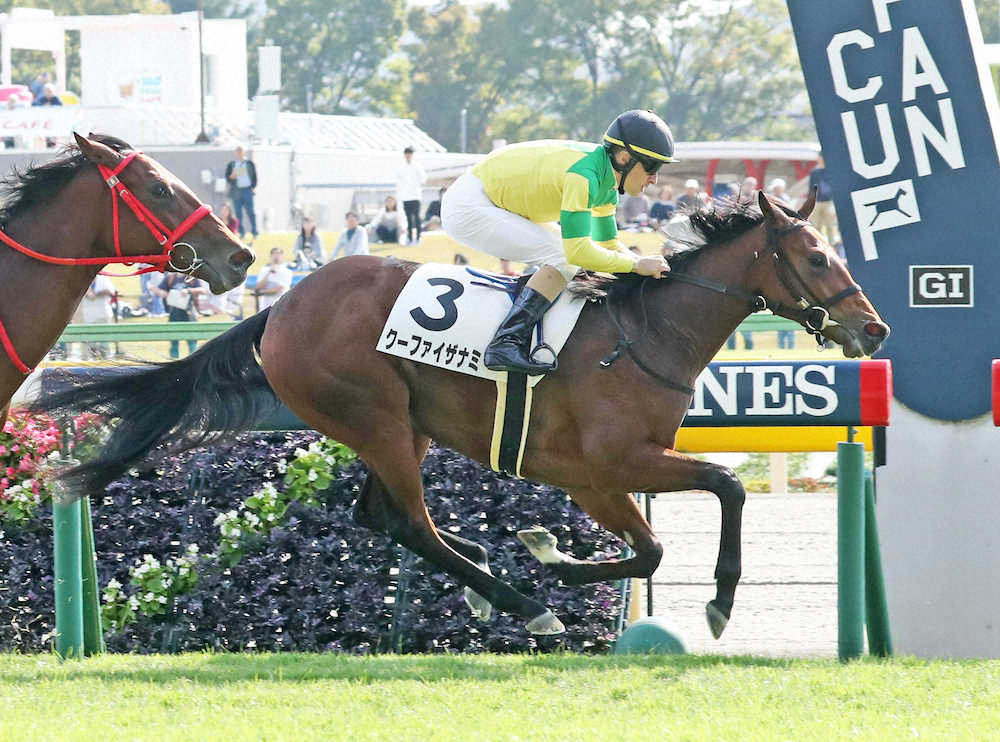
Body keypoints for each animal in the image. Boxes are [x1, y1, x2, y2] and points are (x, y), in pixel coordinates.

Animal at [31, 191, 889, 639]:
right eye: (817, 257)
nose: (873, 329)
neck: (644, 334)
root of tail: (280, 307)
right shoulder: (604, 472)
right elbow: (703, 508)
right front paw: (706, 598)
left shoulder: (611, 474)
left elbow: (673, 530)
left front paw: (546, 552)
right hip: (374, 416)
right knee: (410, 523)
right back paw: (520, 603)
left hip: (394, 426)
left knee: (380, 515)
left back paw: (484, 576)